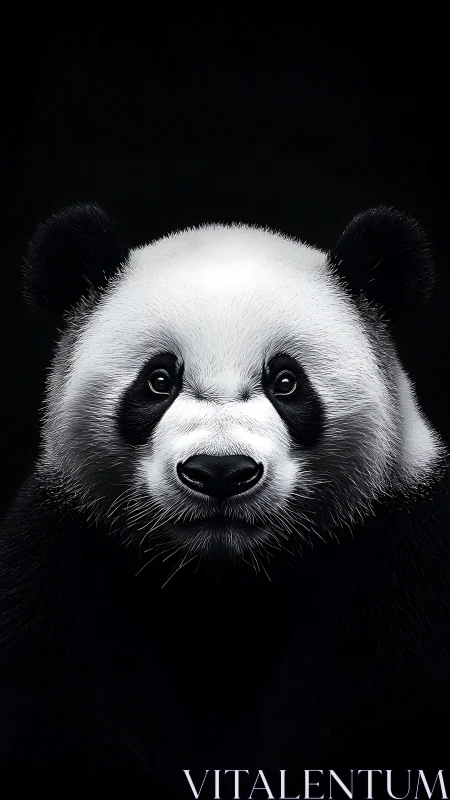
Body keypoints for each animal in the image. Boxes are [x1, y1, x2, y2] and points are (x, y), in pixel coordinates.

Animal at [0, 203, 449, 791]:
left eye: (286, 382)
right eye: (158, 380)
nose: (219, 471)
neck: (224, 582)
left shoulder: (402, 558)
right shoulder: (59, 559)